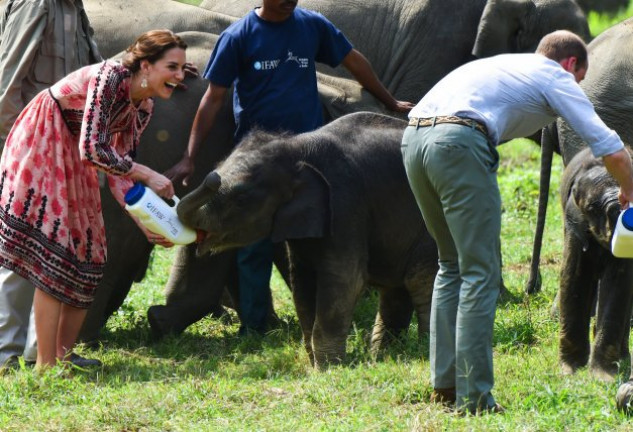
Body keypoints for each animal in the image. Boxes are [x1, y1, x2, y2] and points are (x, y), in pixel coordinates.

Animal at [556, 147, 632, 380]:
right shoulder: (574, 220)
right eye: (591, 207)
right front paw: (570, 370)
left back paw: (623, 358)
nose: (620, 212)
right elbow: (574, 277)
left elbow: (618, 284)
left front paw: (603, 377)